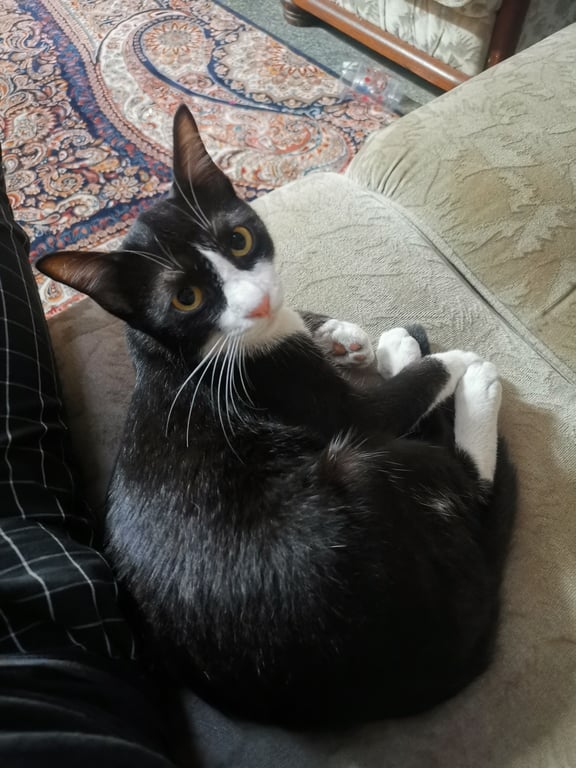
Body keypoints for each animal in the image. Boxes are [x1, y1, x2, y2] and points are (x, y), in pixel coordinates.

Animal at [36, 104, 516, 727]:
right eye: (186, 298)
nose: (257, 303)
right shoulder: (300, 394)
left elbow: (306, 320)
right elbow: (384, 404)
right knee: (466, 483)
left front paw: (342, 335)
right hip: (364, 477)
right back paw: (471, 386)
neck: (183, 355)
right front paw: (432, 359)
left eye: (239, 239)